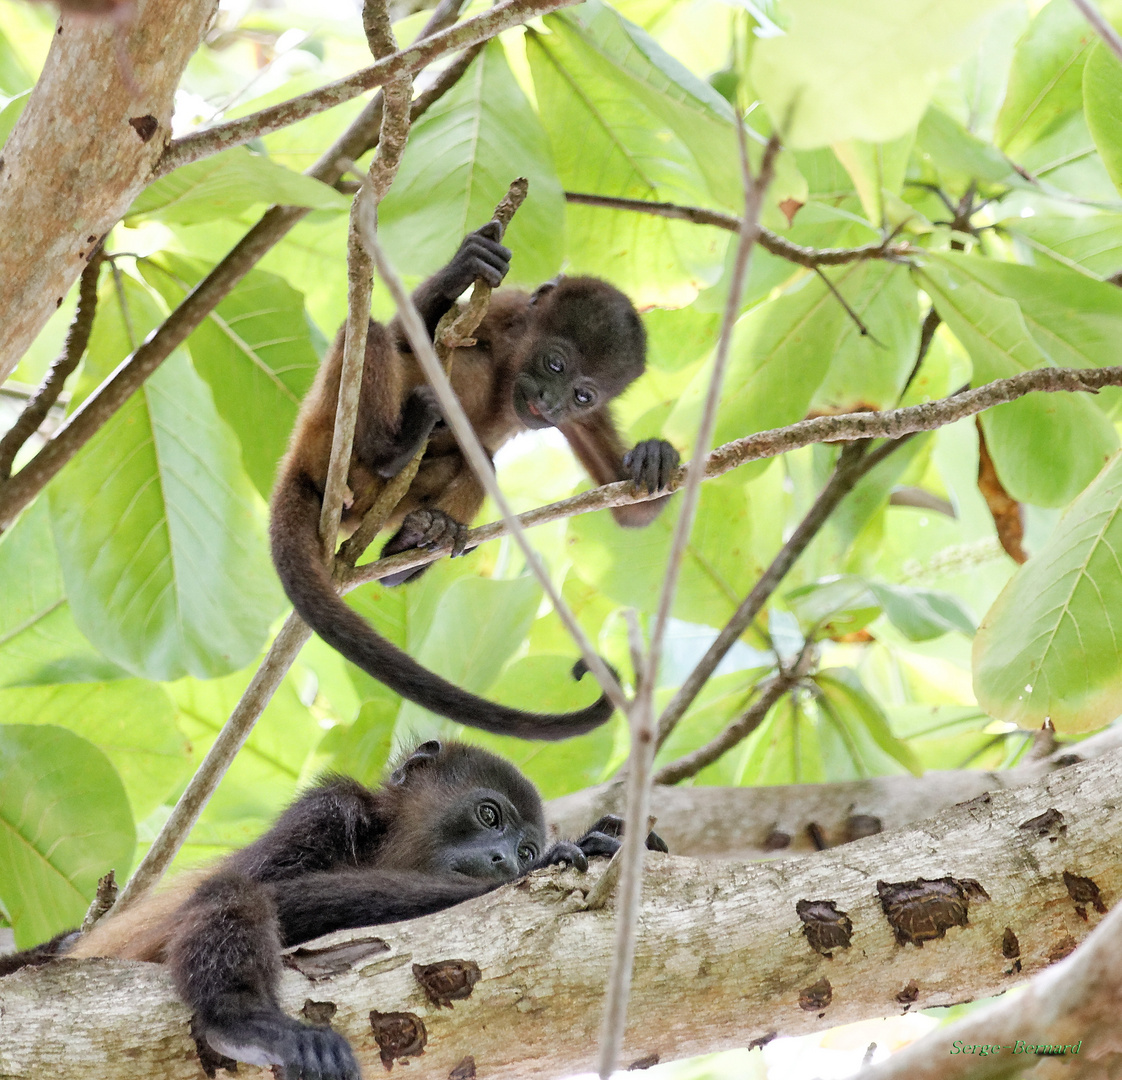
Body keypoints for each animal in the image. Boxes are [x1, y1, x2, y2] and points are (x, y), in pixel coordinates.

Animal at [2, 740, 664, 1080]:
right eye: (489, 815)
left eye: (521, 845)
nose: (507, 860)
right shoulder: (326, 811)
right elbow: (270, 890)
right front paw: (575, 850)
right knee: (231, 894)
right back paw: (240, 1022)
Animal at [269, 219, 682, 744]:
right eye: (555, 364)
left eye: (582, 395)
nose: (551, 402)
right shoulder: (503, 311)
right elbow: (408, 334)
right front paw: (463, 266)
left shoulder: (586, 418)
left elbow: (632, 507)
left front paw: (654, 456)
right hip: (325, 428)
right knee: (371, 334)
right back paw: (390, 451)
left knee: (479, 458)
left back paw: (413, 546)